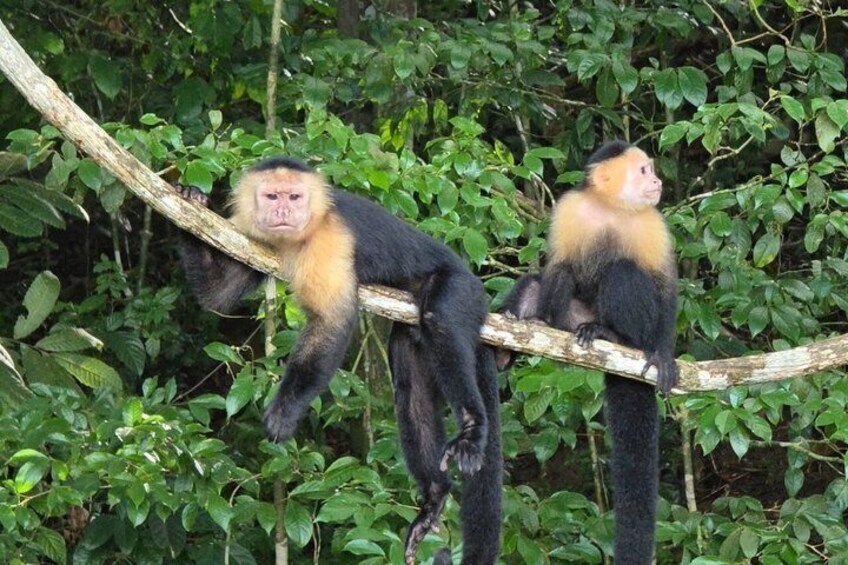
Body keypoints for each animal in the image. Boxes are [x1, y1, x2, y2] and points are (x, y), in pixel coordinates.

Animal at [177, 157, 501, 565]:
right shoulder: (250, 233)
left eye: (294, 197)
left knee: (441, 320)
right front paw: (190, 200)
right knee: (410, 387)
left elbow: (331, 322)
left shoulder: (328, 240)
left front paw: (286, 408)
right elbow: (218, 294)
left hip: (463, 290)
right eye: (272, 197)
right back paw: (434, 495)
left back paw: (472, 430)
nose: (283, 211)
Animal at [498, 140, 678, 564]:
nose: (658, 182)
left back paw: (613, 333)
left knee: (622, 273)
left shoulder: (653, 223)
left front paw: (663, 353)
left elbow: (663, 287)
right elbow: (557, 266)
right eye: (644, 171)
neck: (614, 207)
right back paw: (530, 331)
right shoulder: (571, 209)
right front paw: (541, 316)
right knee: (544, 281)